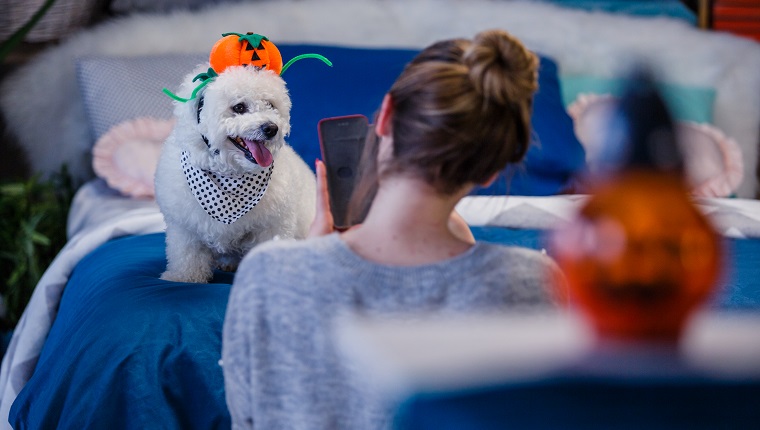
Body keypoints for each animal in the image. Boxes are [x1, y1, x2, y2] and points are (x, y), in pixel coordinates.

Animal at [156, 63, 316, 284]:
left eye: (270, 105)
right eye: (239, 107)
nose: (271, 128)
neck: (230, 174)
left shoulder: (273, 225)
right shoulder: (184, 226)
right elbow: (186, 254)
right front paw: (183, 277)